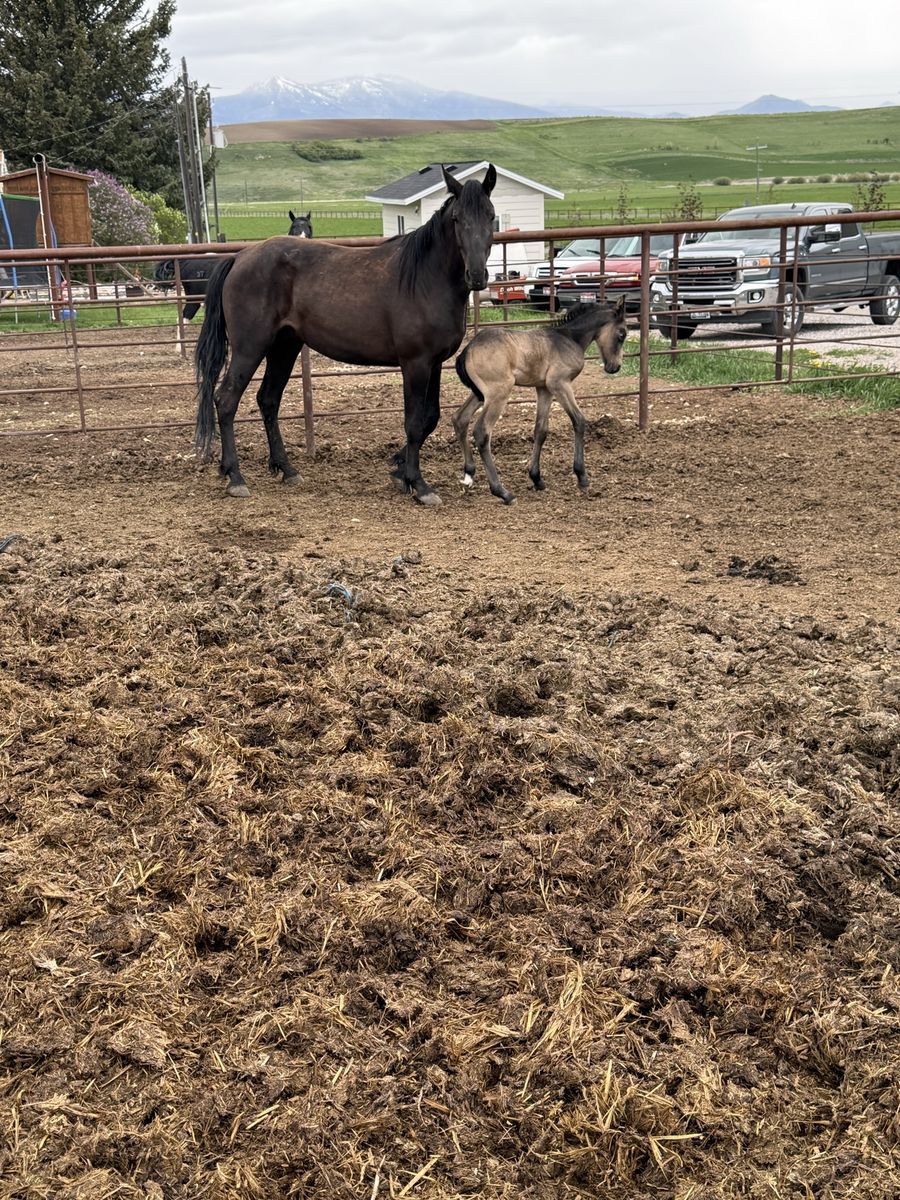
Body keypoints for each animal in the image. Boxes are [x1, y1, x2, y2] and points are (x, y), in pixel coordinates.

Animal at [154, 211, 314, 320]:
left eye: (309, 226)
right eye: (294, 226)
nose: (303, 238)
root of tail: (186, 261)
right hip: (194, 299)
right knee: (185, 316)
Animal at [195, 165, 497, 504]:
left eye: (491, 215)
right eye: (457, 218)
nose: (476, 275)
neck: (425, 278)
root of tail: (239, 258)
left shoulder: (434, 363)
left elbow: (430, 418)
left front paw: (399, 471)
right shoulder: (415, 364)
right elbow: (415, 422)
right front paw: (418, 484)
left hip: (284, 347)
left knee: (268, 400)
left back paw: (286, 469)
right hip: (250, 348)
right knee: (227, 400)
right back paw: (235, 476)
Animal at [453, 297, 627, 504]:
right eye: (622, 334)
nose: (615, 367)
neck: (569, 338)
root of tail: (468, 349)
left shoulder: (544, 389)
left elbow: (541, 430)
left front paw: (536, 478)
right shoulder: (559, 383)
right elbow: (579, 421)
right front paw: (582, 476)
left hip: (480, 394)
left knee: (460, 418)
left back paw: (469, 474)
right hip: (498, 393)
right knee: (481, 431)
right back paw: (502, 491)